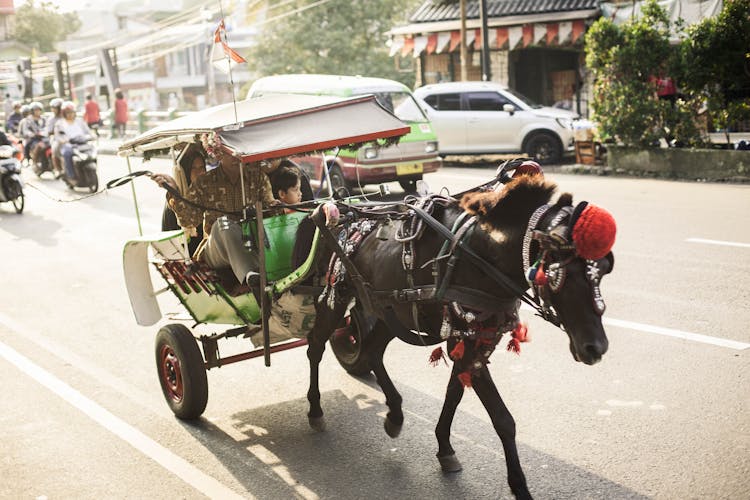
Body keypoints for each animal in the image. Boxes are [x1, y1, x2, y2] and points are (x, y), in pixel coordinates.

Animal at [306, 170, 616, 498]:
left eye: (604, 270)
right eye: (561, 275)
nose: (596, 348)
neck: (482, 256)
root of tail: (345, 213)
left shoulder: (475, 340)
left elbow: (454, 393)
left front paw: (445, 448)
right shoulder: (465, 340)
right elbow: (502, 419)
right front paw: (519, 485)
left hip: (389, 311)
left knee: (373, 351)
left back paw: (395, 414)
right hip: (337, 297)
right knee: (316, 346)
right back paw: (315, 410)